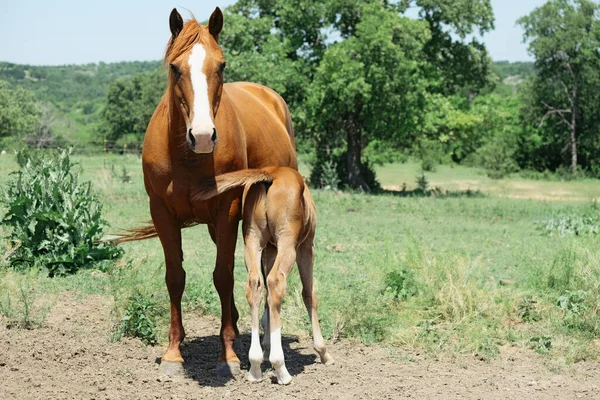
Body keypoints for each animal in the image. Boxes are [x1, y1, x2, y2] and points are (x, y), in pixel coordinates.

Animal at [195, 166, 332, 384]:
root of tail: (270, 175)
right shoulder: (306, 247)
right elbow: (309, 294)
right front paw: (323, 352)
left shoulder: (269, 248)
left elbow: (267, 296)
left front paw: (266, 346)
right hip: (287, 243)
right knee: (276, 282)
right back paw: (281, 368)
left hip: (253, 240)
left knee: (255, 285)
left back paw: (255, 366)